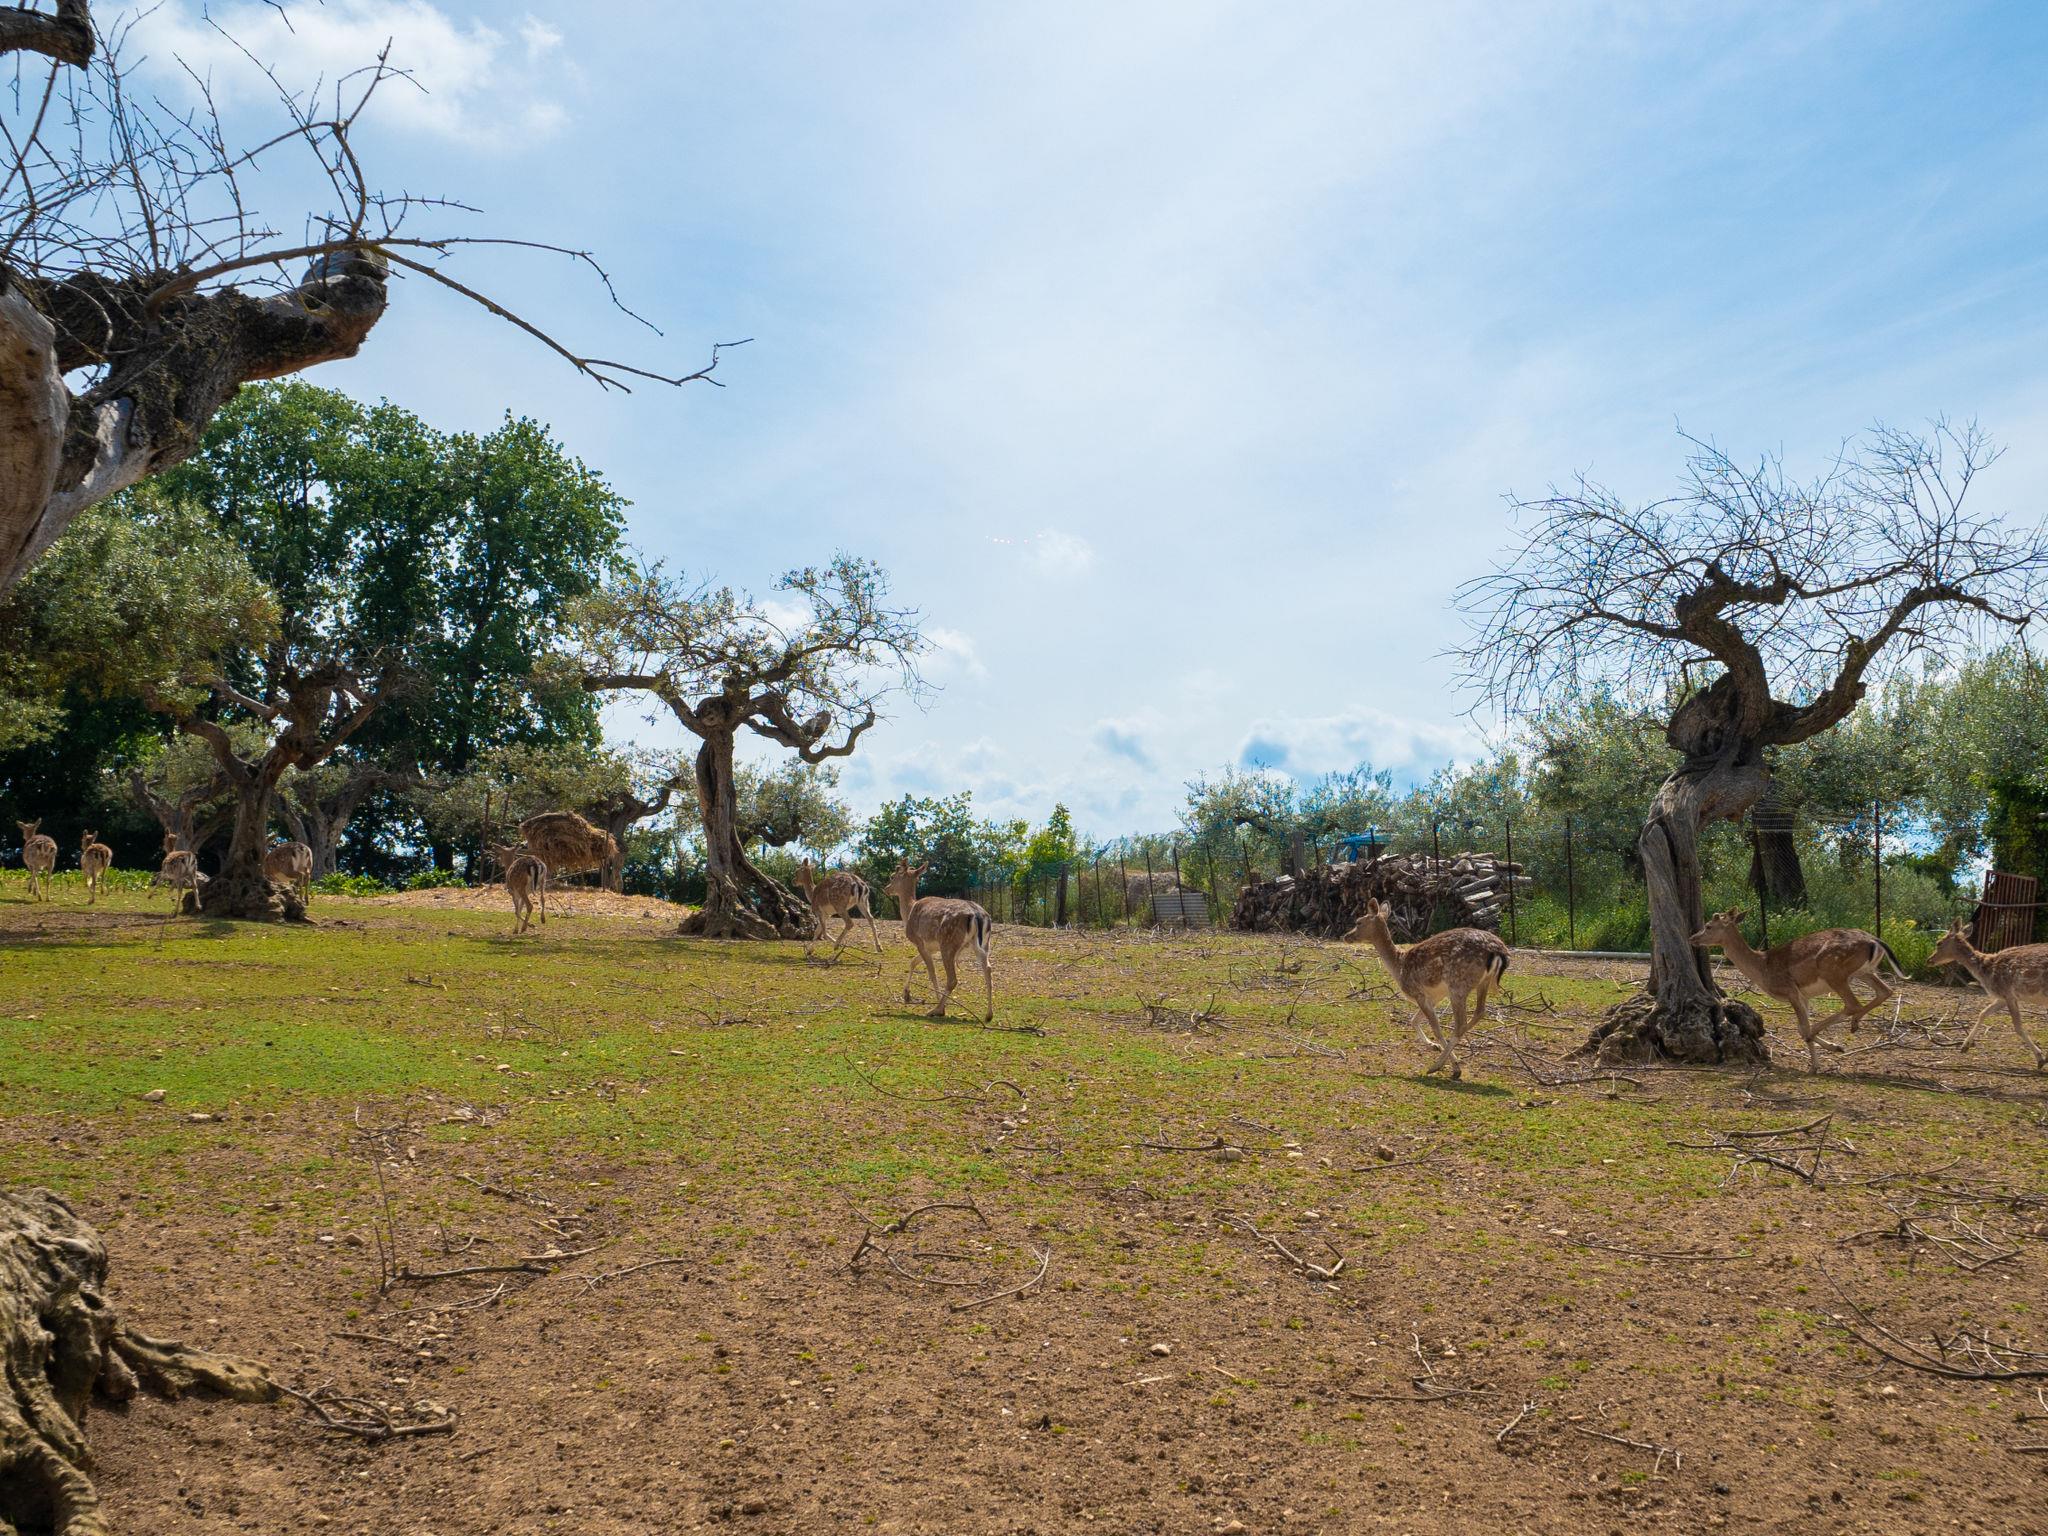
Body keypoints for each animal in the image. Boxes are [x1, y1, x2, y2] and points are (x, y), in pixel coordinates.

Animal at [882, 856, 995, 1022]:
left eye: (892, 876)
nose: (886, 888)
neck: (908, 912)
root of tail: (977, 915)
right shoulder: (931, 947)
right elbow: (913, 962)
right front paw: (906, 995)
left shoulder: (919, 940)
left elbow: (931, 971)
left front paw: (937, 1003)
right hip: (983, 944)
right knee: (988, 968)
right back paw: (988, 1015)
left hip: (948, 942)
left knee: (952, 979)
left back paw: (937, 1009)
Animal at [1345, 897, 1510, 1079]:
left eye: (1359, 922)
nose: (1346, 936)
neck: (1399, 967)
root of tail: (1498, 951)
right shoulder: (1434, 996)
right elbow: (1414, 1020)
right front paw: (1434, 1046)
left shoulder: (1418, 992)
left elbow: (1435, 1028)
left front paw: (1451, 1063)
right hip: (1482, 982)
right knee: (1480, 1012)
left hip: (1458, 984)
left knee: (1461, 1023)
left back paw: (1438, 1066)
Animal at [1689, 910, 1902, 1073]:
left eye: (1708, 926)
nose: (1692, 938)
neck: (1762, 968)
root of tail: (1875, 940)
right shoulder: (1803, 995)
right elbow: (1800, 1027)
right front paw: (1835, 1048)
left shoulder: (1790, 989)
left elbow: (1803, 1028)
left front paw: (1815, 1066)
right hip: (1864, 972)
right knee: (1886, 991)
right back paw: (1854, 1024)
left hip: (1834, 971)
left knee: (1853, 1003)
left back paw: (1833, 1028)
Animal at [1929, 920, 2048, 1072]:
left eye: (1939, 943)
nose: (1929, 960)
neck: (1986, 972)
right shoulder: (2002, 997)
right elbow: (1983, 1013)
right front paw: (1964, 1046)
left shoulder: (2008, 993)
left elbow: (2018, 1027)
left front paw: (2040, 1059)